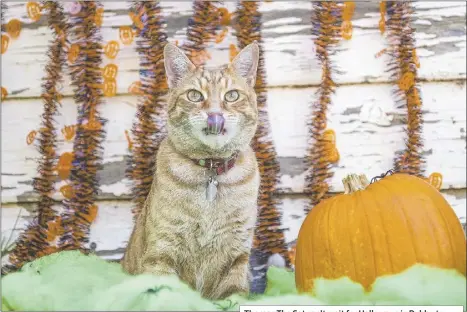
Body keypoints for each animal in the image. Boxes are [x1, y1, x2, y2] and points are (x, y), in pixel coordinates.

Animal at [121, 41, 264, 300]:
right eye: (194, 95)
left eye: (232, 95)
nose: (215, 114)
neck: (211, 170)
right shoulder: (162, 250)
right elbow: (165, 295)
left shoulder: (237, 256)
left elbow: (234, 296)